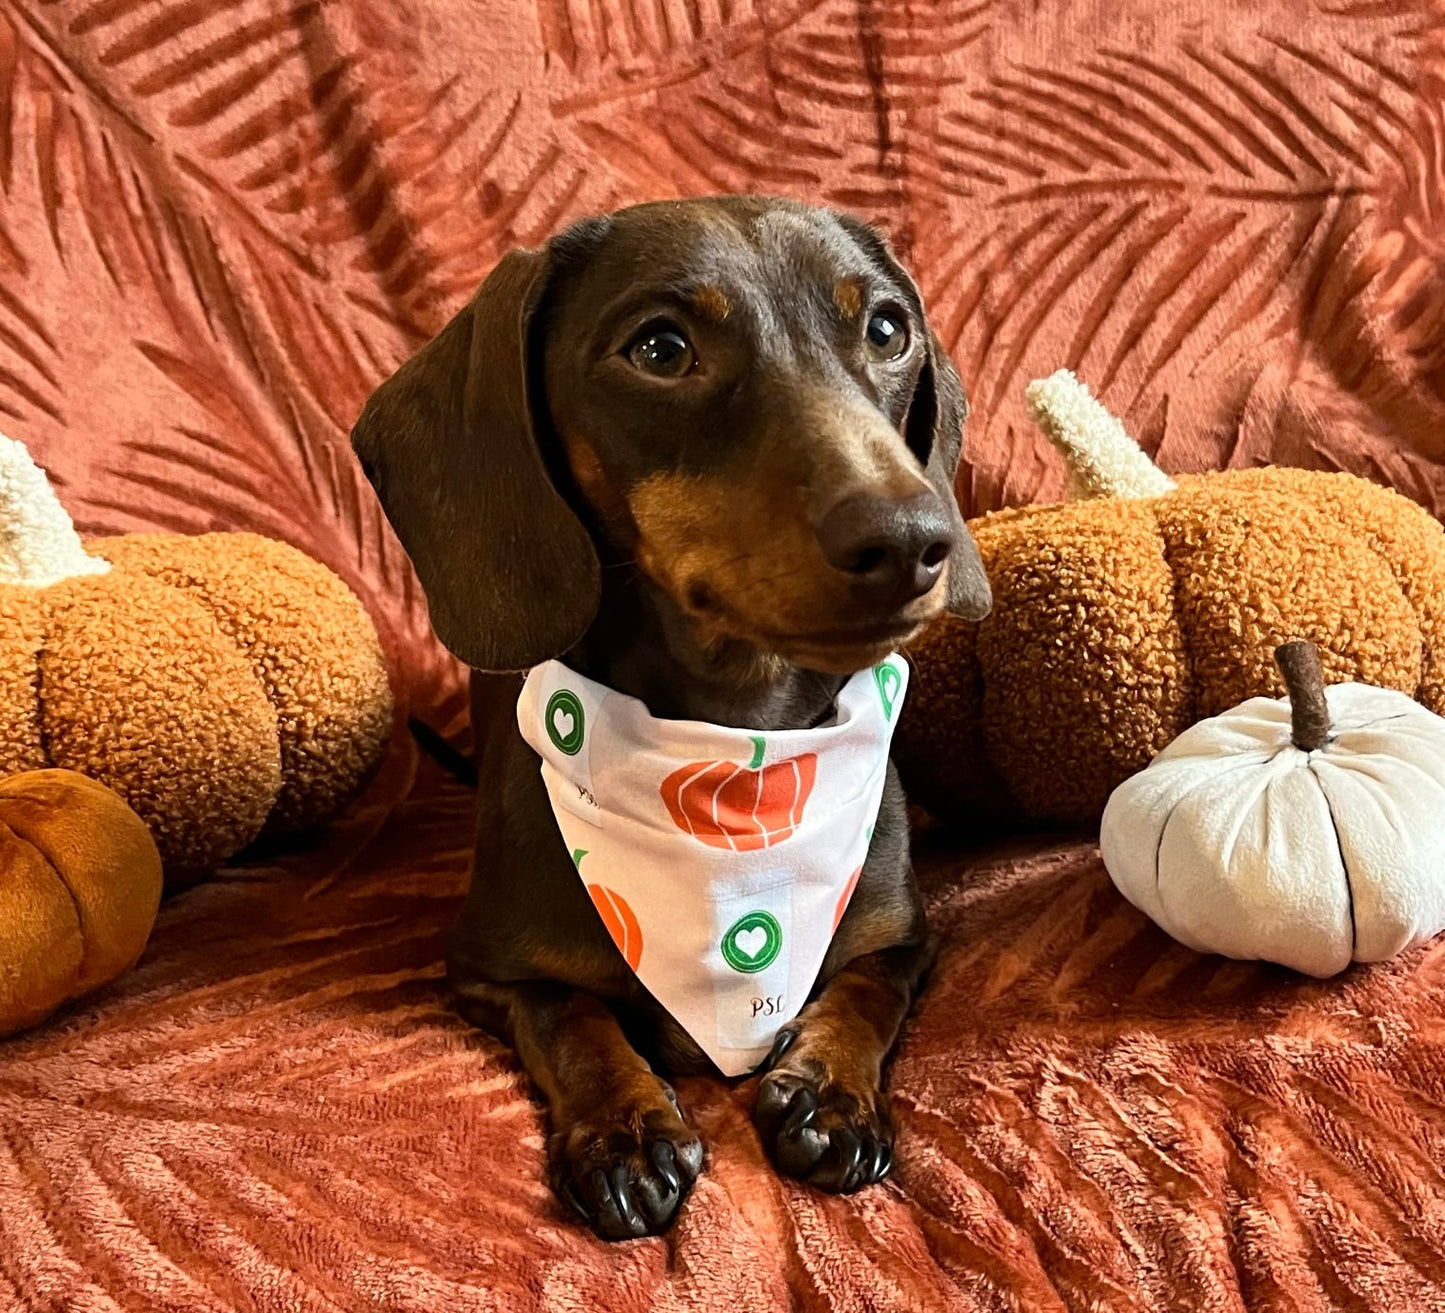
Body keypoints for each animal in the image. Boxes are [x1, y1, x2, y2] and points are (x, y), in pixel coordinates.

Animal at [349, 189, 988, 1236]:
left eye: (888, 330)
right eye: (659, 348)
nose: (911, 540)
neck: (737, 752)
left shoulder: (907, 939)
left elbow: (867, 990)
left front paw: (830, 1092)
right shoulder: (486, 969)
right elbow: (571, 1013)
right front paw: (625, 1128)